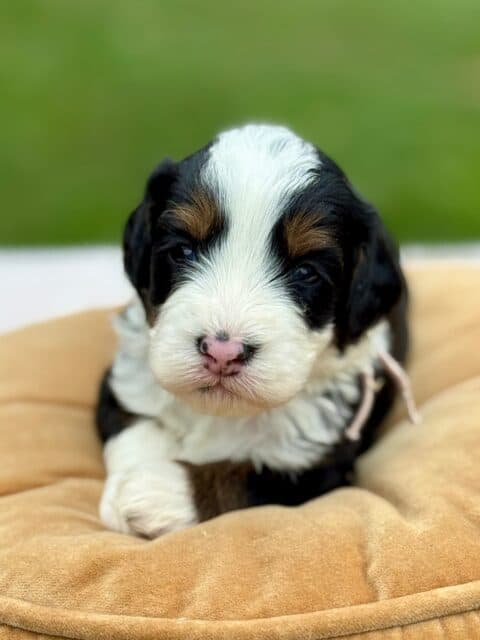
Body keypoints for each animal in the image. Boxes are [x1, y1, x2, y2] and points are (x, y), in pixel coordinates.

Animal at [96, 122, 416, 536]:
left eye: (306, 272)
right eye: (182, 251)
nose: (222, 353)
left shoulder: (319, 465)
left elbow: (244, 477)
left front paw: (155, 491)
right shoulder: (124, 380)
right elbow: (134, 425)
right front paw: (130, 484)